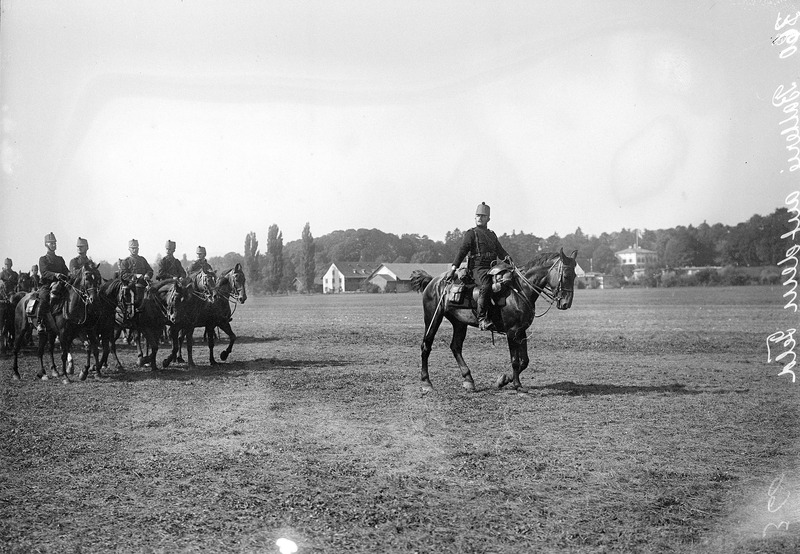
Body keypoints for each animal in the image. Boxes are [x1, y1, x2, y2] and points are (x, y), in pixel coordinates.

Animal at [412, 248, 576, 390]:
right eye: (566, 276)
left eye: (574, 276)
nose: (566, 303)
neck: (520, 290)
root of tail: (433, 281)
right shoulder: (511, 332)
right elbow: (515, 361)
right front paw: (516, 385)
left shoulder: (521, 331)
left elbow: (524, 361)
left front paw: (503, 380)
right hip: (433, 318)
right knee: (426, 346)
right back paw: (426, 382)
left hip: (459, 323)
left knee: (455, 347)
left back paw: (468, 379)